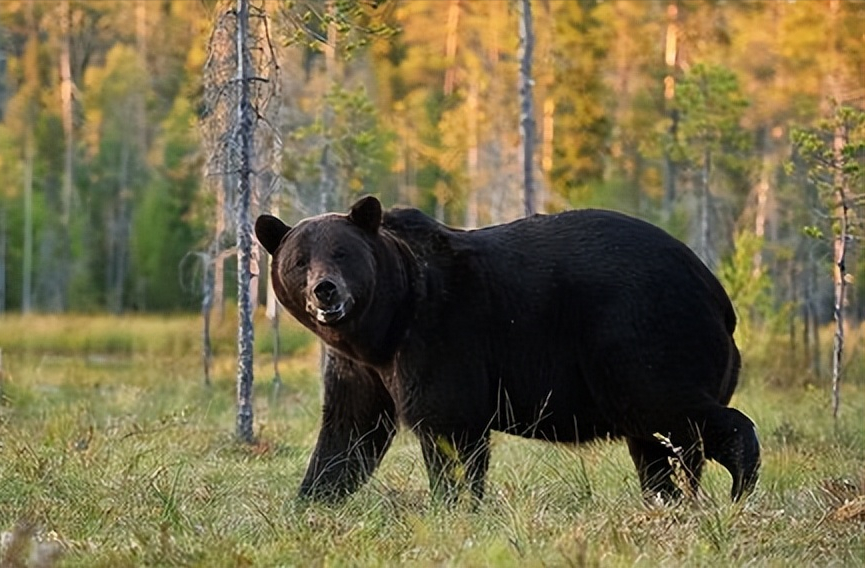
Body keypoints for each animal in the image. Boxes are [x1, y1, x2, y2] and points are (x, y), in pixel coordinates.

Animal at [253, 197, 760, 504]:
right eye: (300, 261)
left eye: (342, 254)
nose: (325, 291)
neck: (386, 324)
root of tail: (718, 292)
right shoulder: (360, 368)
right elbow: (349, 432)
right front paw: (311, 500)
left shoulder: (443, 335)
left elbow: (448, 426)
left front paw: (454, 503)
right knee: (655, 443)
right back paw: (667, 499)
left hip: (640, 334)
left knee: (671, 409)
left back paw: (740, 483)